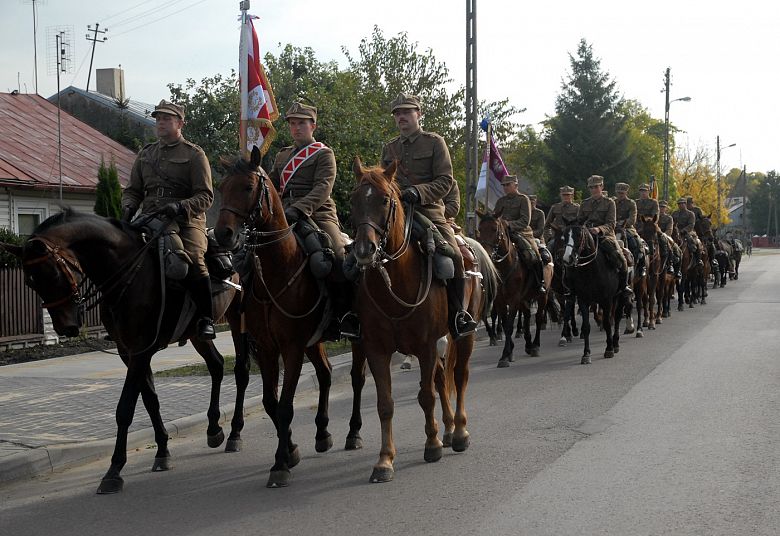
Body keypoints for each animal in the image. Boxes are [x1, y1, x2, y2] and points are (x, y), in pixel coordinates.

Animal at [0, 209, 244, 494]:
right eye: (30, 281)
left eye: (52, 274)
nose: (66, 327)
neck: (128, 271)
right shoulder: (128, 352)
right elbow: (150, 400)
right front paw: (162, 451)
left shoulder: (139, 351)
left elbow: (125, 408)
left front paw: (114, 470)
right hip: (197, 335)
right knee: (217, 366)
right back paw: (214, 429)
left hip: (240, 320)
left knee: (241, 372)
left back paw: (235, 433)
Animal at [212, 148, 336, 490]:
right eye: (221, 187)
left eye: (247, 187)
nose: (224, 234)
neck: (279, 269)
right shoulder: (267, 348)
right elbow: (270, 402)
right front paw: (289, 451)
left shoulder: (291, 348)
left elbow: (285, 406)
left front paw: (280, 464)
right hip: (313, 342)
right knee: (326, 374)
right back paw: (322, 432)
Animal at [348, 158, 488, 482]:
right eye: (353, 200)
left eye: (385, 200)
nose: (363, 250)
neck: (395, 282)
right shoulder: (377, 350)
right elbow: (385, 404)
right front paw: (385, 459)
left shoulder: (425, 346)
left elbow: (426, 396)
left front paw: (432, 445)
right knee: (441, 377)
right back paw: (448, 429)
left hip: (465, 335)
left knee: (459, 376)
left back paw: (459, 432)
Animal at [476, 211, 548, 366]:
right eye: (480, 229)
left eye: (494, 229)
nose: (486, 255)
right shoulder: (500, 300)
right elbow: (504, 323)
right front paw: (509, 351)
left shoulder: (514, 299)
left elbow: (509, 325)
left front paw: (505, 355)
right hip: (524, 298)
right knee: (527, 316)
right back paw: (528, 344)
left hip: (543, 296)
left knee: (538, 318)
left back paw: (535, 346)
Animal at [564, 222, 624, 364]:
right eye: (564, 236)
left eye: (579, 236)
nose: (567, 258)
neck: (591, 271)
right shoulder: (583, 300)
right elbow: (586, 327)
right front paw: (586, 354)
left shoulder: (606, 300)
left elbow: (607, 323)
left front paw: (609, 349)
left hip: (619, 296)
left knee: (617, 317)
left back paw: (615, 343)